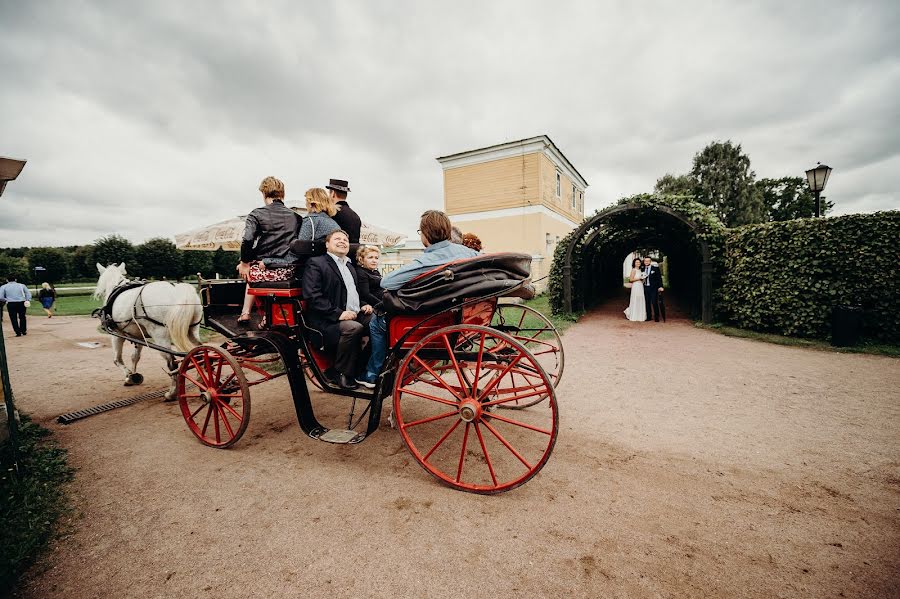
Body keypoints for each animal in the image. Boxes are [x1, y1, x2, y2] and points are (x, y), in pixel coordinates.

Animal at [93, 264, 202, 400]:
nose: (97, 293)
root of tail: (177, 291)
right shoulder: (138, 336)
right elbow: (135, 357)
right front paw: (133, 375)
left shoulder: (117, 334)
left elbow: (117, 360)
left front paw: (130, 376)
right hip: (192, 330)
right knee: (199, 352)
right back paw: (201, 381)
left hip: (160, 336)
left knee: (172, 363)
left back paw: (172, 393)